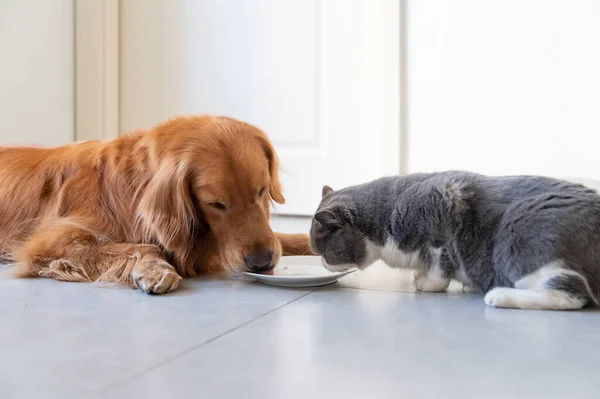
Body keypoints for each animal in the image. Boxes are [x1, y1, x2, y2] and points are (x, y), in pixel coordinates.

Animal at [0, 115, 312, 294]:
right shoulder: (52, 240)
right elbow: (146, 246)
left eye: (261, 190)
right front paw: (155, 269)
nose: (261, 262)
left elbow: (287, 237)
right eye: (216, 204)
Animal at [310, 170, 600, 310]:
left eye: (323, 253)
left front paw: (427, 282)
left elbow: (440, 268)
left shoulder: (443, 220)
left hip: (519, 232)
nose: (322, 264)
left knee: (571, 293)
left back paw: (500, 295)